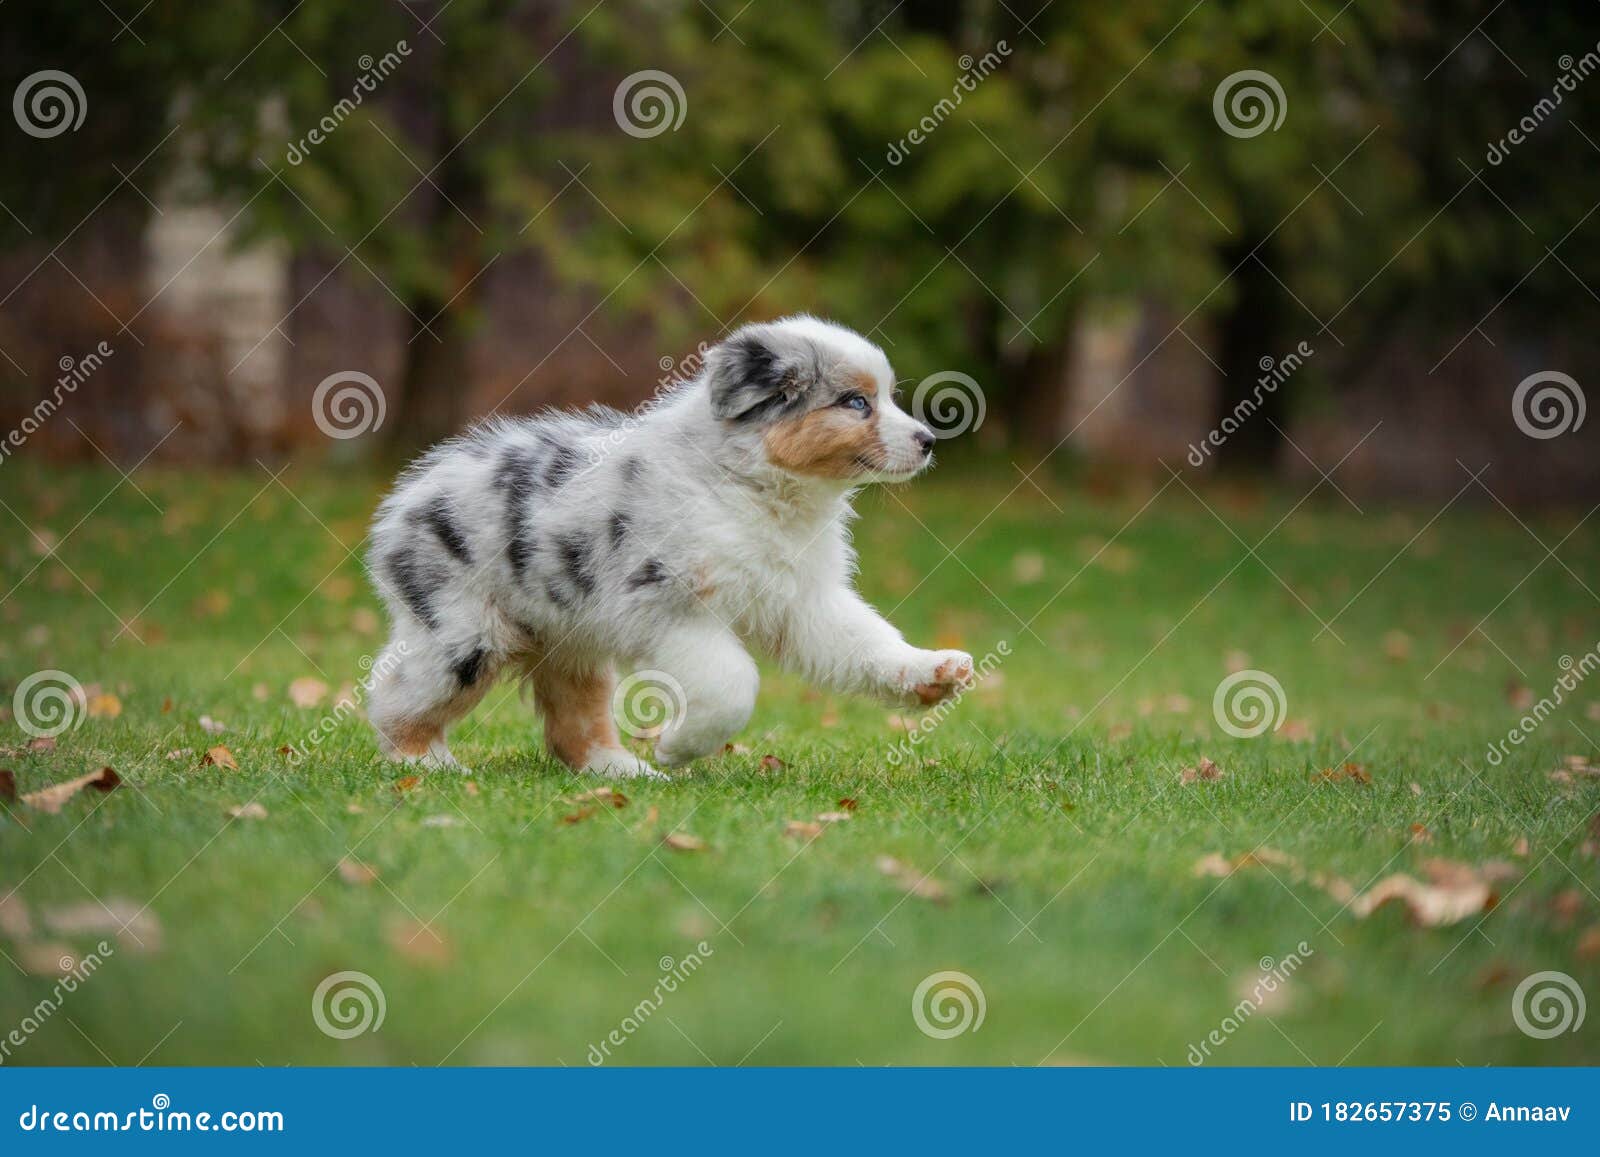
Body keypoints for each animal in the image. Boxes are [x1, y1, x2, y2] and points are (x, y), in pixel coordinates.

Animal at [366, 315, 972, 777]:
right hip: (462, 633)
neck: (760, 489)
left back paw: (619, 770)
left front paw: (931, 672)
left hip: (570, 640)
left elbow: (867, 643)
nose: (928, 441)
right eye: (854, 402)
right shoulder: (668, 606)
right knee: (392, 695)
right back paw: (422, 763)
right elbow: (733, 684)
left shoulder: (805, 600)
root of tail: (407, 497)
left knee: (574, 722)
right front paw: (677, 747)